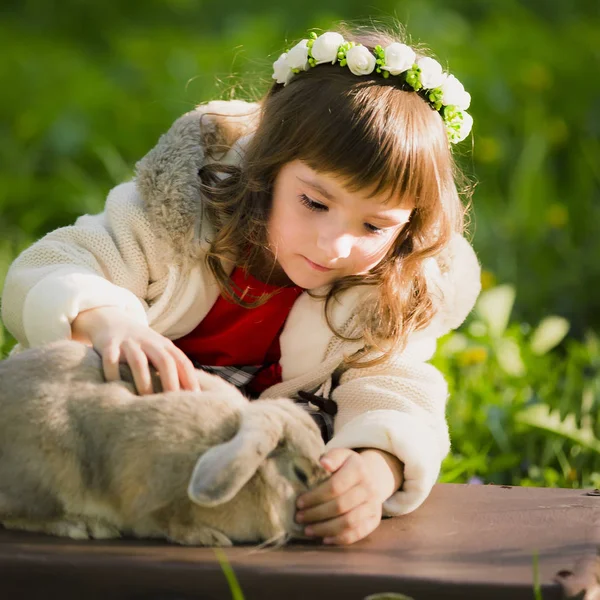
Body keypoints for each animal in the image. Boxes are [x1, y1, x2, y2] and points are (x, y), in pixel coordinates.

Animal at [0, 340, 328, 548]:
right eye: (300, 474)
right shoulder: (148, 486)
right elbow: (169, 520)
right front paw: (206, 537)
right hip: (43, 476)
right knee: (17, 515)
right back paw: (83, 526)